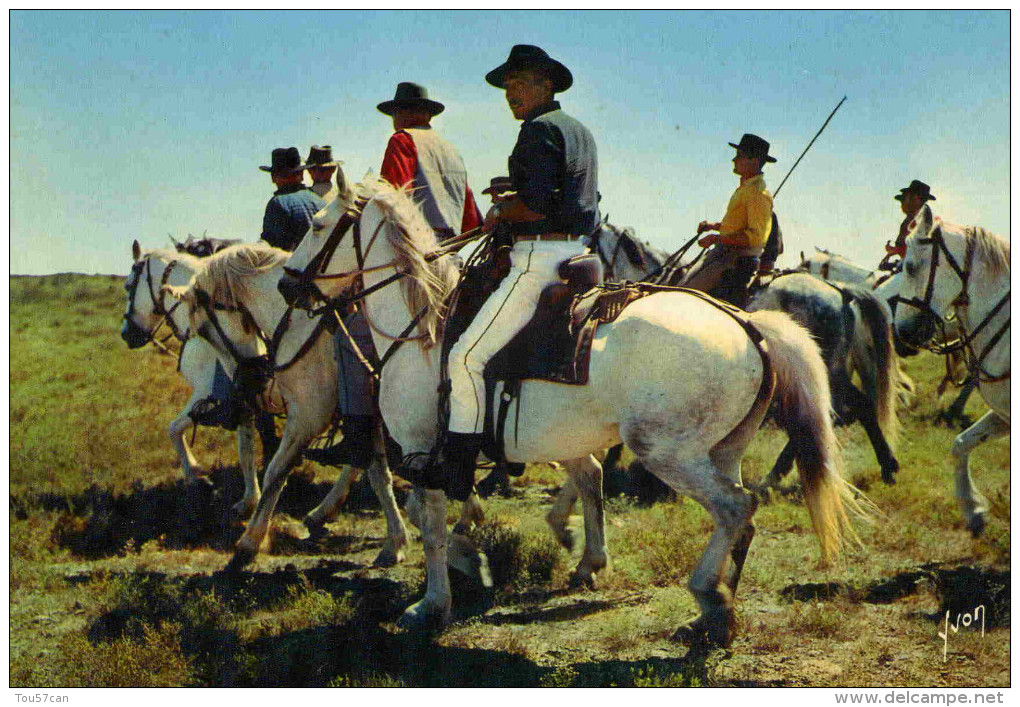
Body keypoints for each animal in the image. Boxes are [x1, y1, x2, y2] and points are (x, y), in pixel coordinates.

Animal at [120, 242, 263, 512]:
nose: (126, 334)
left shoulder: (208, 395)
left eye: (128, 285)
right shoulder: (242, 403)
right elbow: (247, 449)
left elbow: (174, 429)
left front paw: (196, 475)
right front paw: (251, 497)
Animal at [163, 239, 410, 567]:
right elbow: (378, 474)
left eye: (204, 330)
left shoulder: (308, 416)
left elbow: (275, 471)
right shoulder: (364, 413)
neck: (301, 325)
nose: (246, 382)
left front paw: (250, 541)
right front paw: (396, 540)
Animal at [277, 180, 860, 644]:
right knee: (741, 515)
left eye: (319, 225)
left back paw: (708, 599)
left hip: (666, 452)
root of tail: (748, 323)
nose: (286, 284)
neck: (425, 326)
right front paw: (551, 559)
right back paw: (718, 606)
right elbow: (573, 485)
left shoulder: (424, 449)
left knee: (736, 508)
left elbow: (432, 522)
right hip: (723, 450)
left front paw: (434, 601)